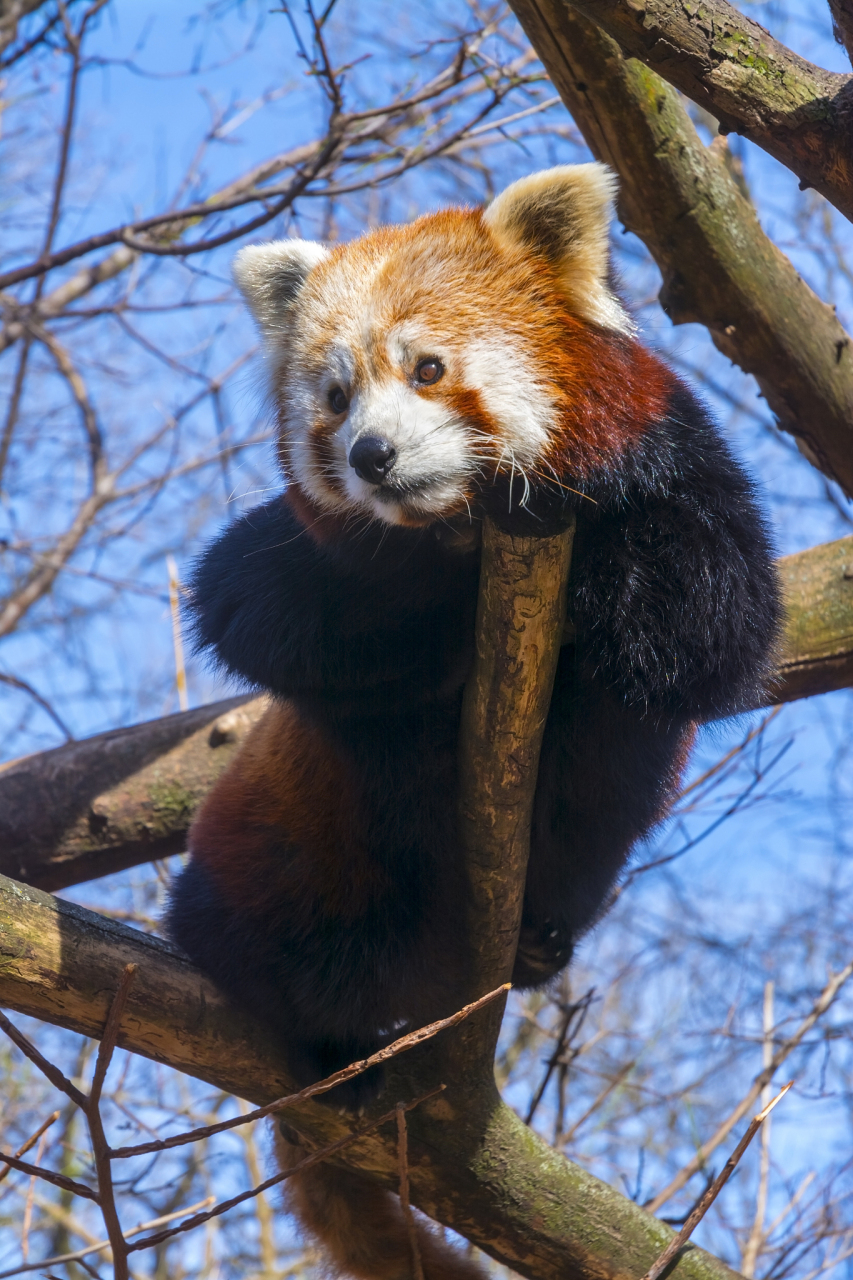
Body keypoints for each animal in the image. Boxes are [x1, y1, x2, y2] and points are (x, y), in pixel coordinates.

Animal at [166, 165, 778, 1274]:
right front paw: (441, 609)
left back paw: (536, 940)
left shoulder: (679, 475)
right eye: (333, 397)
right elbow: (262, 613)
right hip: (289, 841)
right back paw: (331, 1040)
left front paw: (604, 589)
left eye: (428, 367)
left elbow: (710, 634)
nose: (369, 453)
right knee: (263, 926)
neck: (462, 522)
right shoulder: (300, 565)